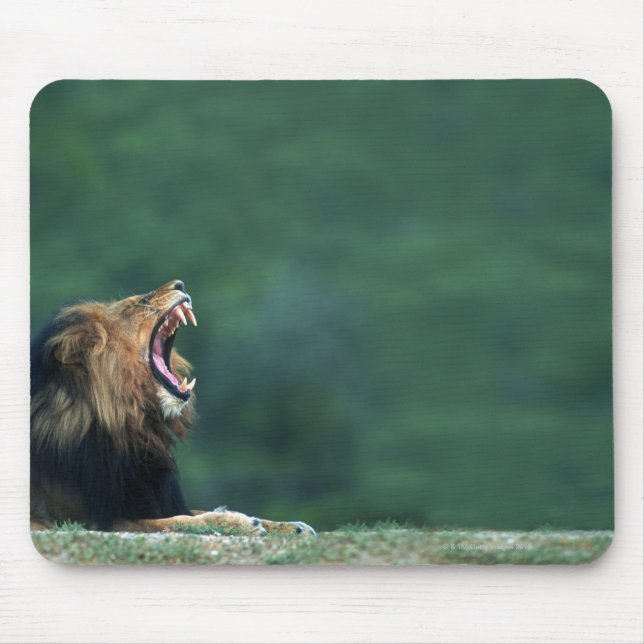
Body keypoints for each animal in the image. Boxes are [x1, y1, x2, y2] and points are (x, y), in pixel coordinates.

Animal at [30, 279, 315, 536]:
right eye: (139, 303)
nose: (180, 284)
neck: (135, 427)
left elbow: (194, 512)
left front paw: (291, 526)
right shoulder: (92, 519)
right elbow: (180, 521)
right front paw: (239, 523)